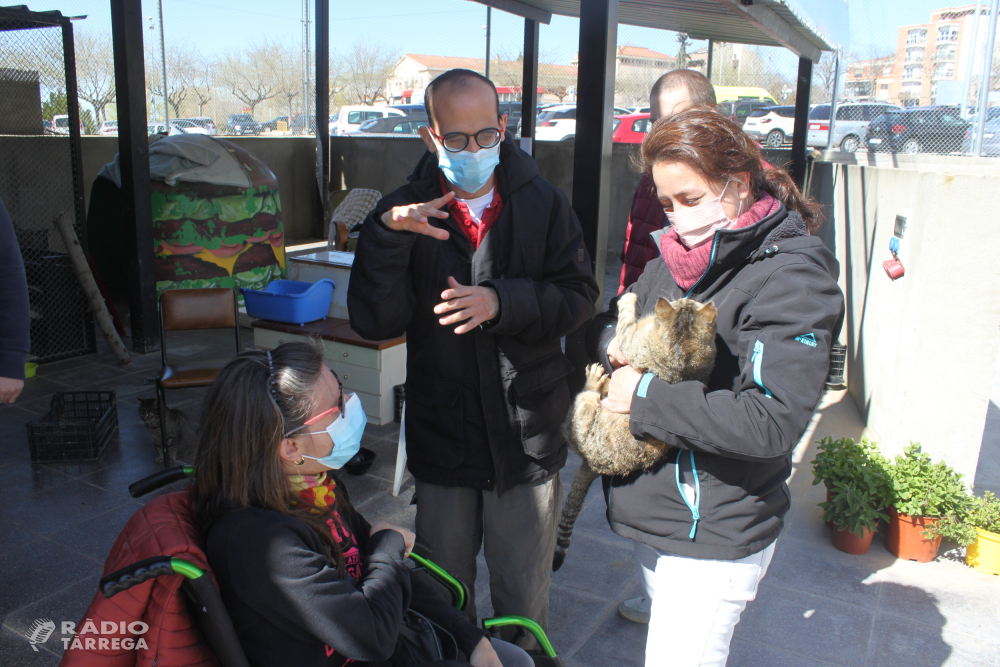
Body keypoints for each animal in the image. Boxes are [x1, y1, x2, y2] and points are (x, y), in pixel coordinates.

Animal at [556, 294, 720, 572]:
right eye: (684, 301)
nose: (685, 295)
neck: (679, 358)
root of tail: (592, 465)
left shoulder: (630, 341)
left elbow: (624, 323)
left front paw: (628, 298)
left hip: (582, 413)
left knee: (586, 398)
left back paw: (595, 381)